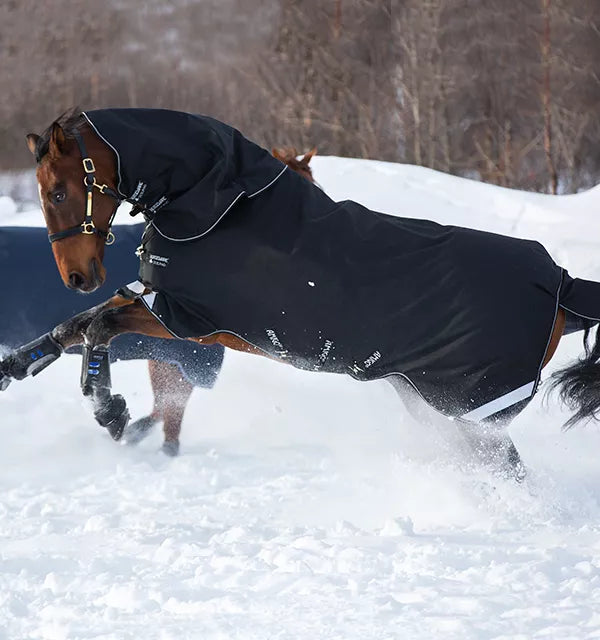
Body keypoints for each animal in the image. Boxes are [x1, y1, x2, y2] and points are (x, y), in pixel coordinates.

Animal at [1, 110, 600, 480]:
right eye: (44, 194)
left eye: (60, 192)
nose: (78, 276)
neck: (214, 207)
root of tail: (562, 286)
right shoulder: (164, 311)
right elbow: (75, 327)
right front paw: (21, 368)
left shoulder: (192, 324)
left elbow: (98, 327)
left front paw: (111, 411)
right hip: (439, 405)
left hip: (471, 412)